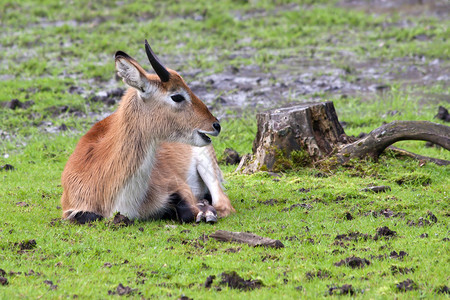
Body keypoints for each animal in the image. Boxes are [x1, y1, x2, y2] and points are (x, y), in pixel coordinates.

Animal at [61, 41, 236, 225]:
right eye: (177, 96)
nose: (216, 125)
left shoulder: (178, 184)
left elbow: (188, 212)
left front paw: (202, 211)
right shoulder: (70, 211)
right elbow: (87, 216)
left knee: (222, 204)